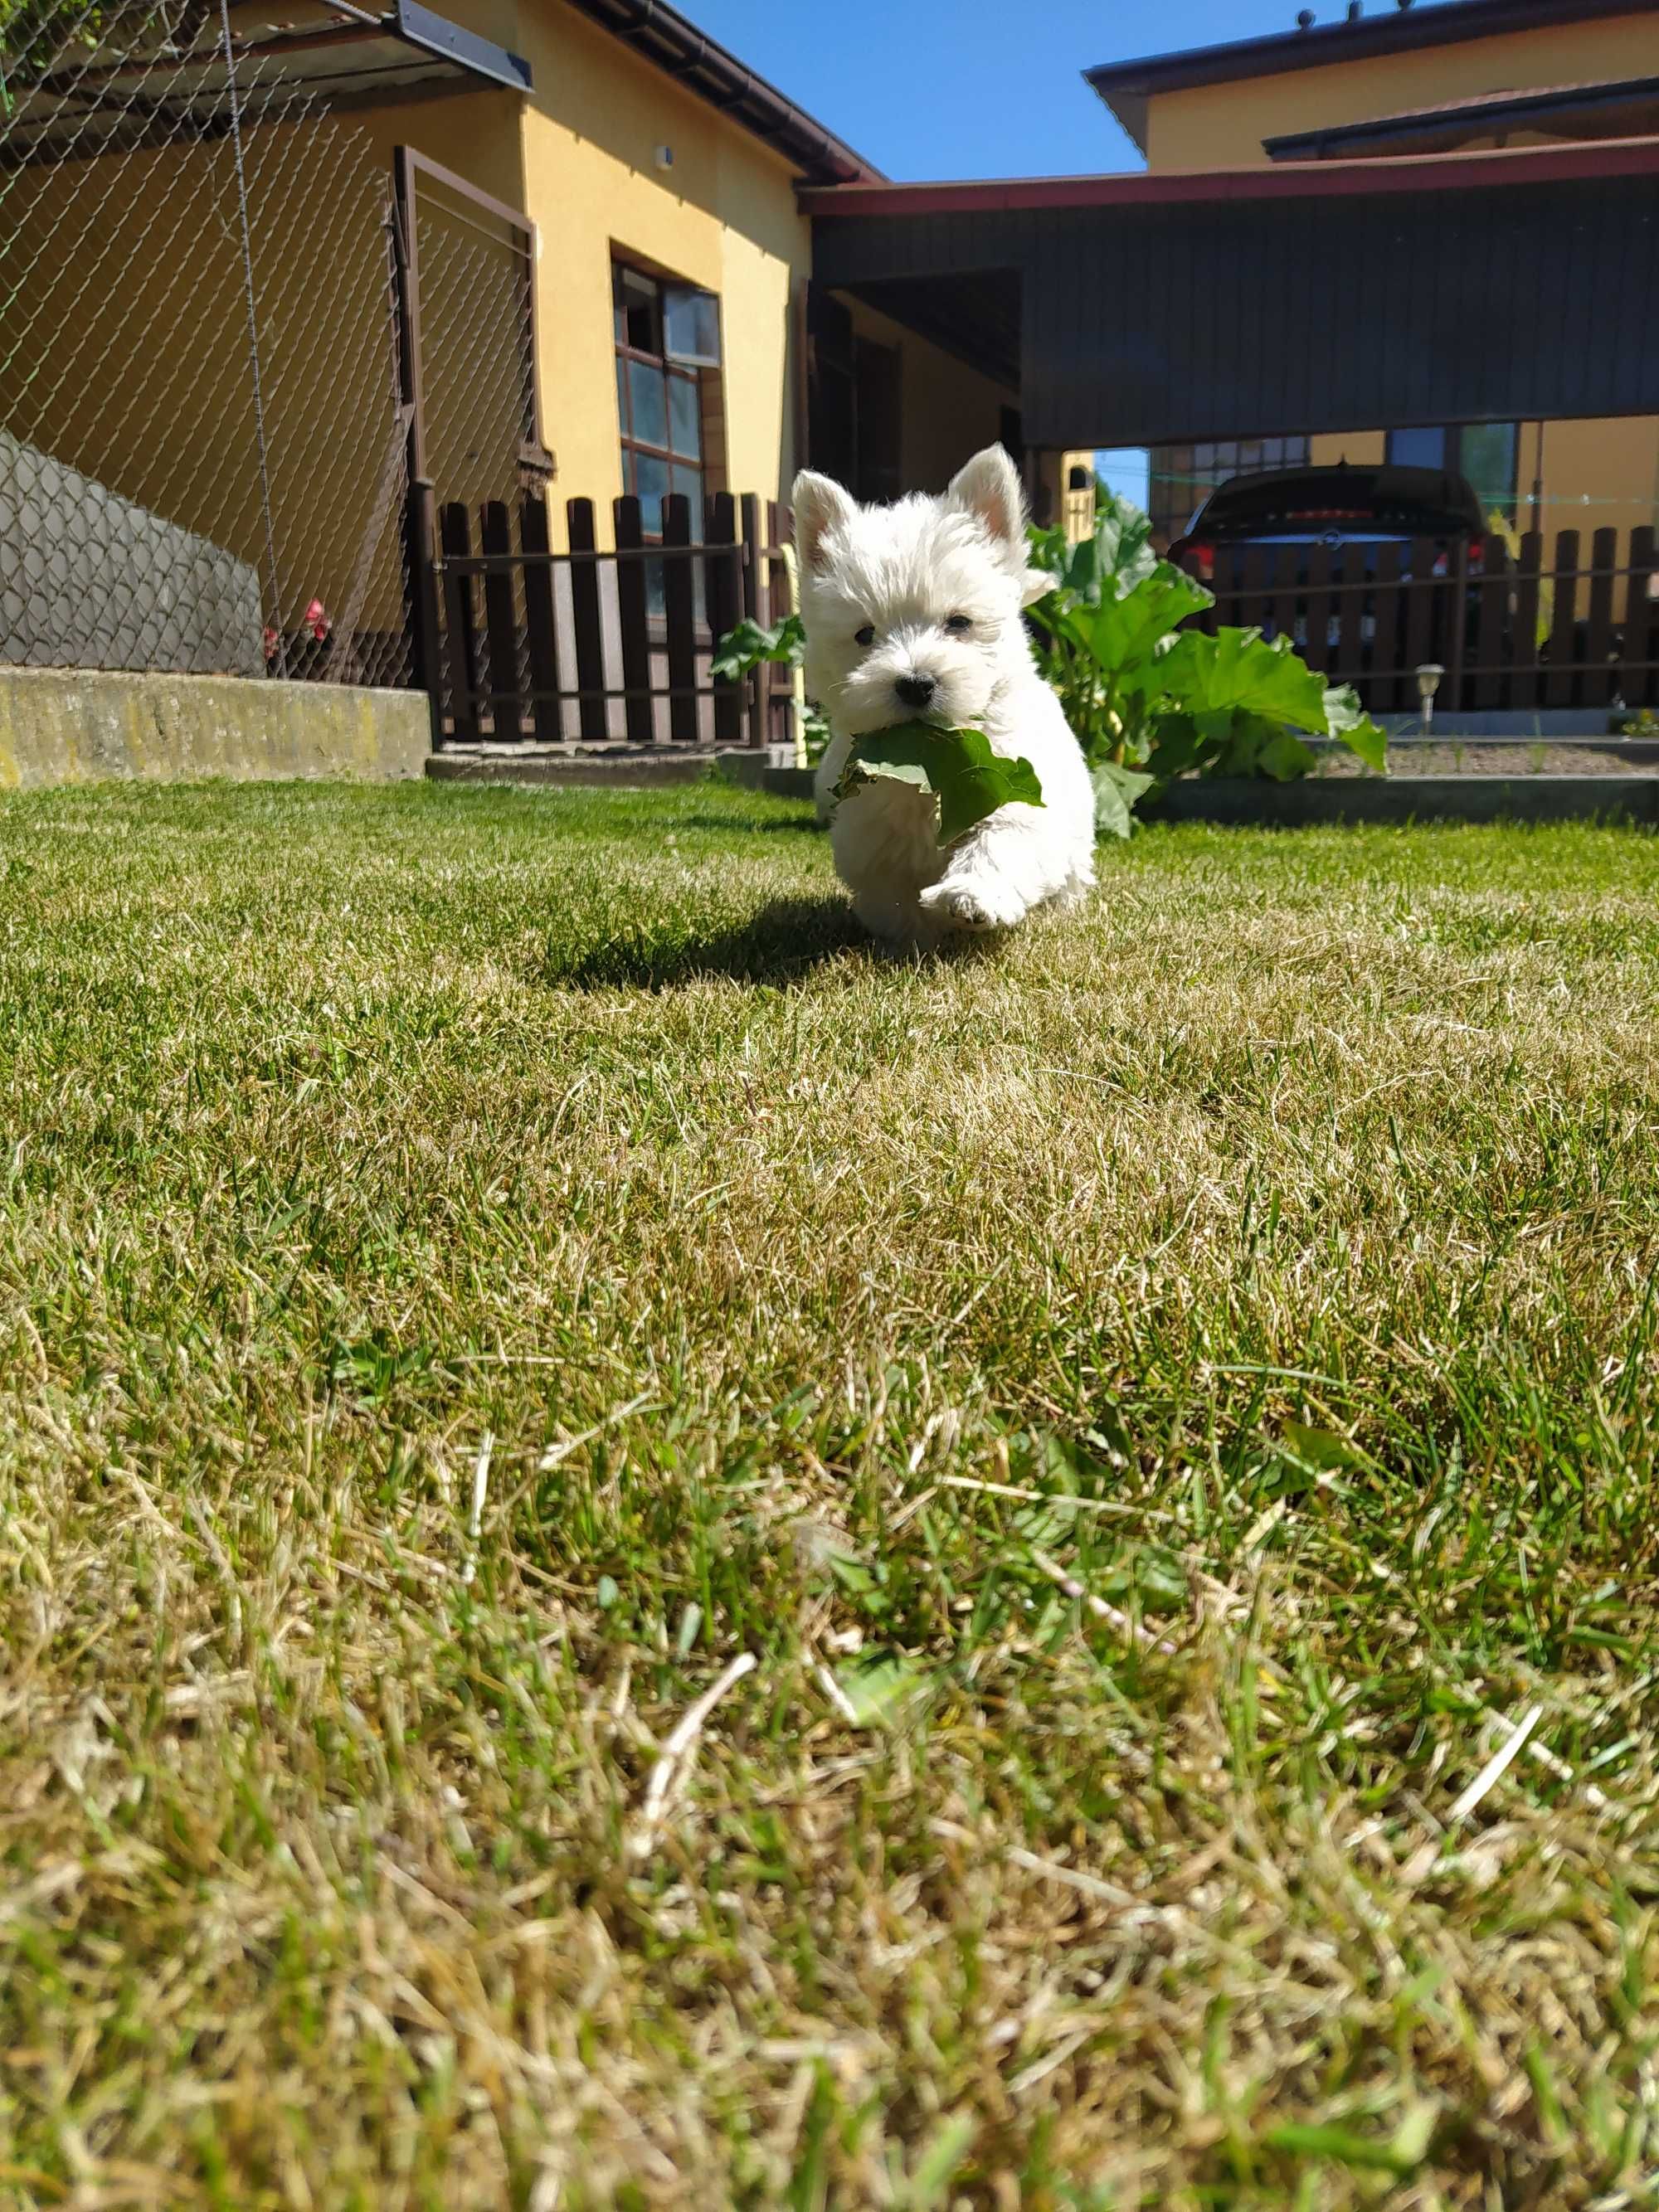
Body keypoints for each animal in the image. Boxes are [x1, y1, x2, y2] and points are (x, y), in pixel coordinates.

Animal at [796, 445, 1097, 946]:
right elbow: (892, 893)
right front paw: (916, 936)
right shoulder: (870, 830)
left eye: (959, 623)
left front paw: (972, 895)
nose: (916, 683)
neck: (932, 758)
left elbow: (1001, 840)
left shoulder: (1015, 790)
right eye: (864, 635)